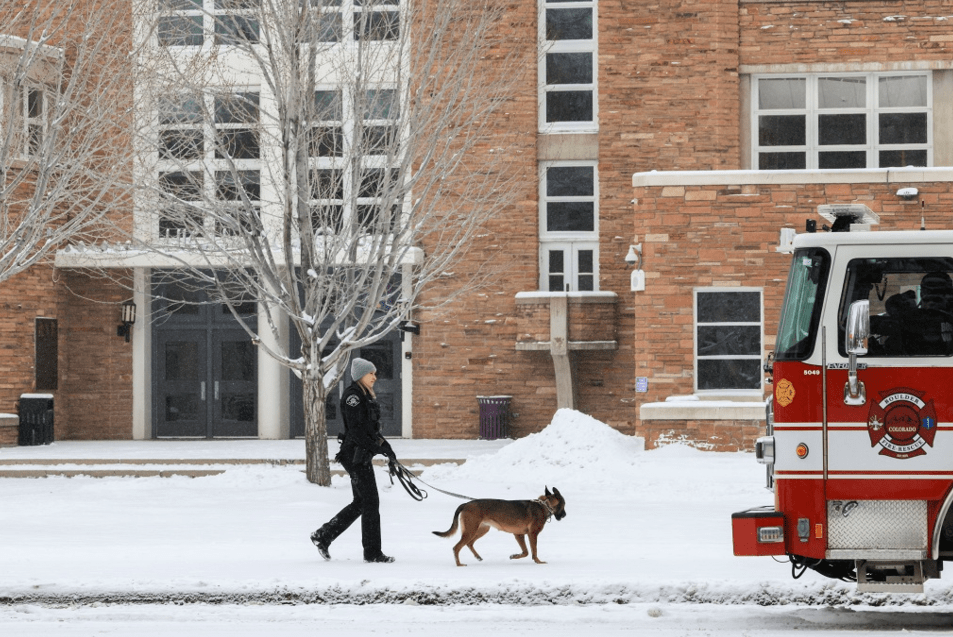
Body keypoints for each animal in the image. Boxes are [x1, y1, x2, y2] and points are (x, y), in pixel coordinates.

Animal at [432, 486, 564, 568]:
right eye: (564, 504)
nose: (564, 515)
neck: (544, 505)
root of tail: (466, 504)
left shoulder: (519, 534)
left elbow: (525, 552)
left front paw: (514, 556)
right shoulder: (532, 534)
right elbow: (533, 551)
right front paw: (538, 562)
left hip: (482, 529)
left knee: (469, 543)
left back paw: (478, 557)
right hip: (471, 530)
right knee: (457, 547)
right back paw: (459, 564)